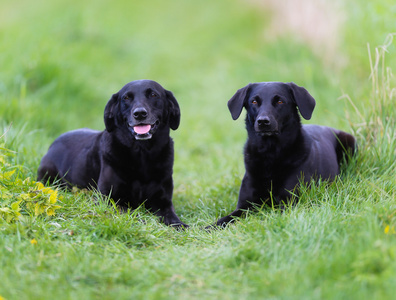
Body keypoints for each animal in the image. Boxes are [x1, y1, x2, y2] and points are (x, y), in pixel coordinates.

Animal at [38, 79, 188, 227]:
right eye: (126, 98)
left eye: (153, 95)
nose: (139, 113)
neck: (142, 154)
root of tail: (54, 142)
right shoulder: (107, 199)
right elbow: (131, 212)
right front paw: (144, 222)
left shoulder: (163, 200)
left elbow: (171, 215)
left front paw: (179, 225)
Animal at [215, 81, 358, 226]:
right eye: (254, 101)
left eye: (280, 101)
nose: (263, 121)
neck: (269, 153)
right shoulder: (245, 205)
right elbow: (225, 219)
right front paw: (211, 227)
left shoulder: (289, 201)